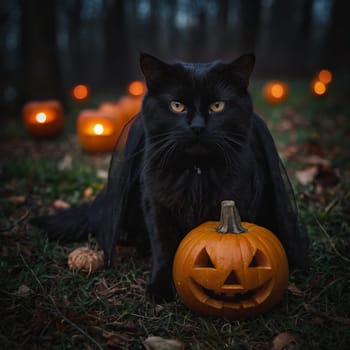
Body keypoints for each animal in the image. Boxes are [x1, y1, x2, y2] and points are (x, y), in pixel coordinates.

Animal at [34, 53, 308, 302]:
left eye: (217, 106)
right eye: (177, 106)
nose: (197, 127)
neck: (196, 171)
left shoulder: (240, 199)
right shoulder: (157, 207)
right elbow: (164, 250)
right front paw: (160, 288)